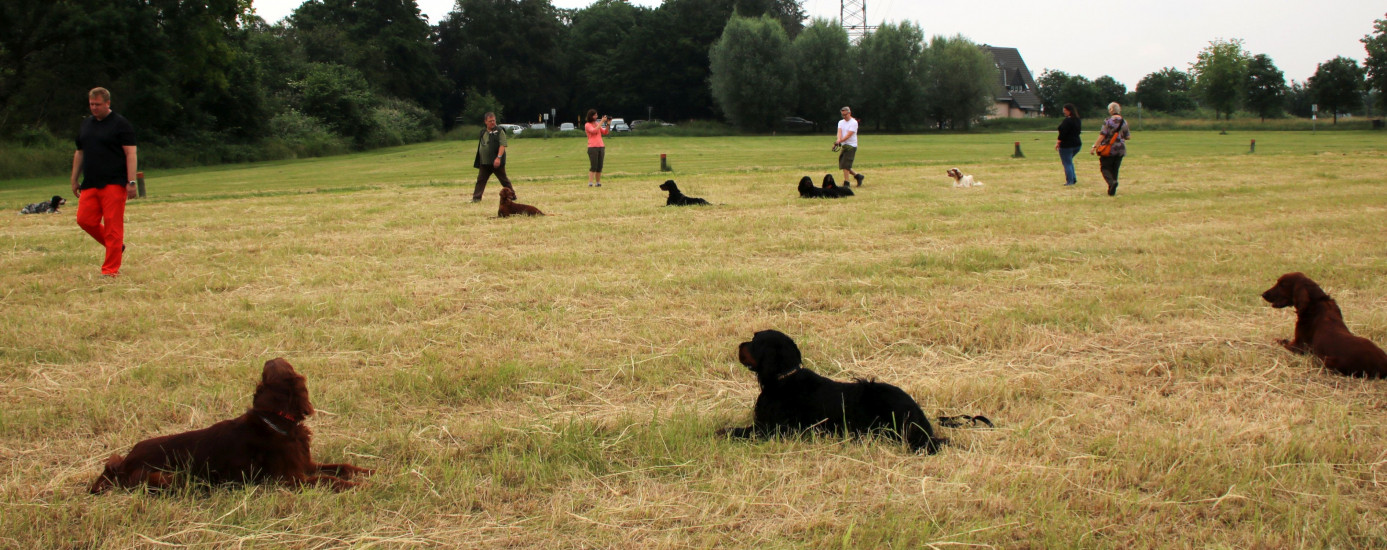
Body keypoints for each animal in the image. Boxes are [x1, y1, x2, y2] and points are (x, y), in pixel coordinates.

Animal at [89, 358, 374, 493]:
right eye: (281, 366)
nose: (270, 357)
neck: (278, 420)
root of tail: (123, 464)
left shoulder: (306, 464)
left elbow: (342, 467)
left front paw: (366, 472)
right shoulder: (291, 478)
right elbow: (329, 479)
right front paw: (359, 487)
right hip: (167, 476)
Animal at [719, 330, 991, 453]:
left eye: (755, 341)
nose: (739, 344)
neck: (784, 379)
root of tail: (918, 413)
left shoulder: (775, 429)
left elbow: (739, 431)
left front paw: (722, 431)